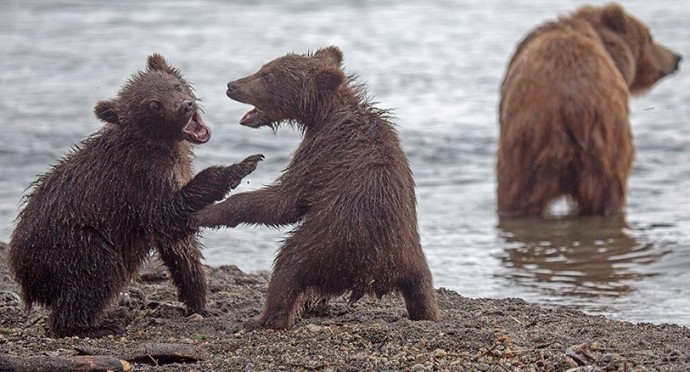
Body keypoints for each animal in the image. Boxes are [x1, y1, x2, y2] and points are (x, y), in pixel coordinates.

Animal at [10, 54, 264, 338]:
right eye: (154, 104)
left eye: (176, 85)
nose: (186, 106)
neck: (160, 144)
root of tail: (23, 275)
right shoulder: (141, 182)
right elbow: (169, 215)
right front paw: (241, 166)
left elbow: (181, 250)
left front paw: (198, 301)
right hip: (73, 244)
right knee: (96, 274)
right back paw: (96, 325)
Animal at [196, 45, 438, 328]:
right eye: (263, 67)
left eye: (269, 76)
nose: (232, 85)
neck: (324, 113)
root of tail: (375, 274)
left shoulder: (323, 151)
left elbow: (286, 201)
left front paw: (206, 213)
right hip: (412, 257)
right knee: (423, 289)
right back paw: (428, 313)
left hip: (328, 245)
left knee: (287, 267)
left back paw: (262, 319)